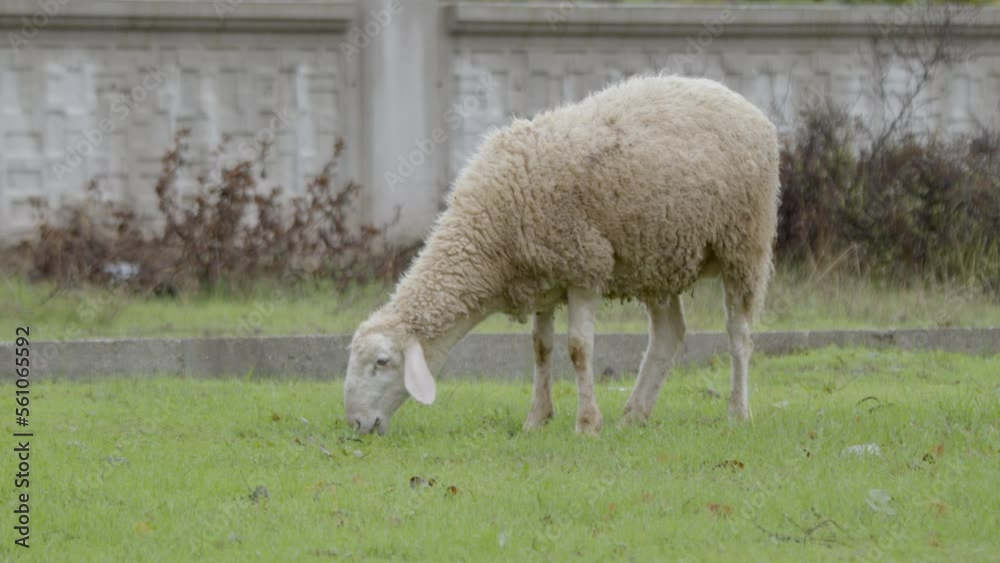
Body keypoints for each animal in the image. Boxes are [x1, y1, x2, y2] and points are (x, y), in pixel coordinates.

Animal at [343, 74, 780, 435]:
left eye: (381, 362)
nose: (357, 424)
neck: (488, 235)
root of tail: (749, 107)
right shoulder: (541, 278)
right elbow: (541, 348)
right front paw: (537, 419)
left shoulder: (583, 267)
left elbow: (578, 349)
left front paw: (586, 423)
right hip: (658, 257)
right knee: (668, 335)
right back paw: (634, 414)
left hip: (744, 245)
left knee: (739, 335)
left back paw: (737, 412)